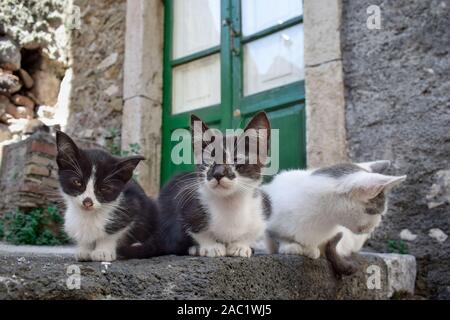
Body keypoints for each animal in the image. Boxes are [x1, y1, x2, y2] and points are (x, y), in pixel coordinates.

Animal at [54, 131, 163, 262]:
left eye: (104, 188)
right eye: (77, 182)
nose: (87, 202)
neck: (90, 216)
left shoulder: (133, 205)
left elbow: (114, 231)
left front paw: (103, 251)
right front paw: (85, 249)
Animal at [157, 112, 270, 258]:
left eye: (236, 159)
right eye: (208, 160)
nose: (218, 173)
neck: (229, 203)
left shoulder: (260, 212)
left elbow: (253, 232)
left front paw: (241, 245)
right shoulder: (187, 208)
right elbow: (196, 231)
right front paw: (211, 247)